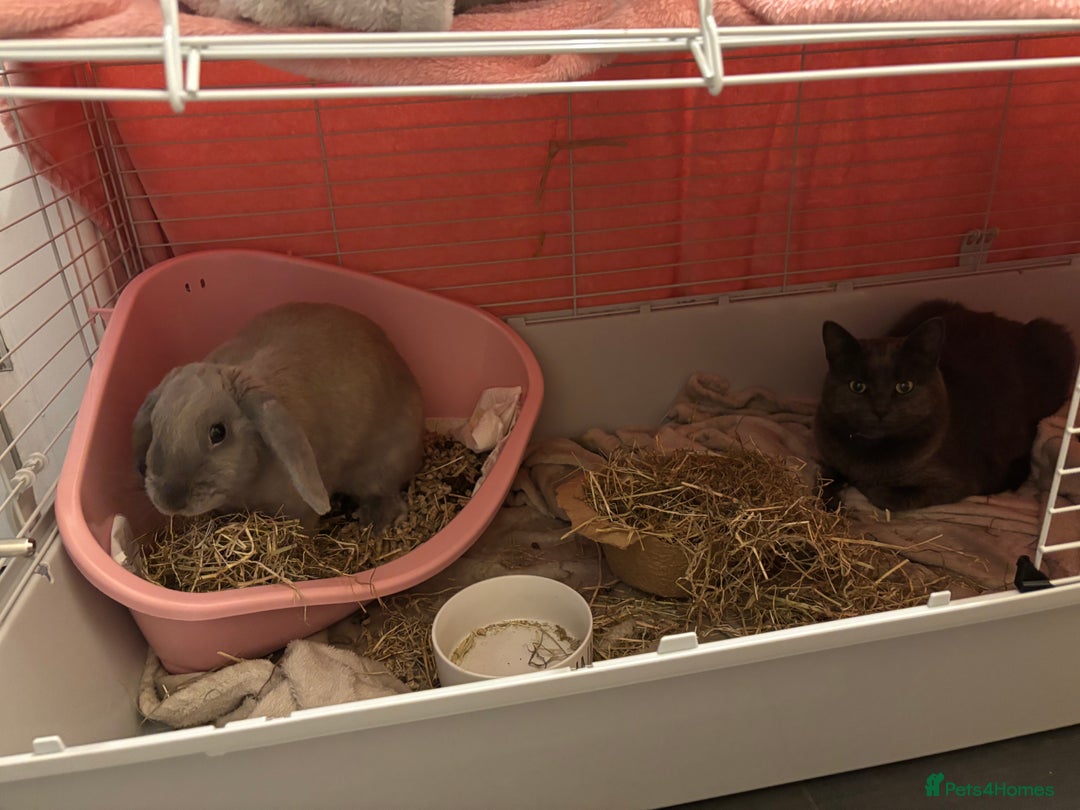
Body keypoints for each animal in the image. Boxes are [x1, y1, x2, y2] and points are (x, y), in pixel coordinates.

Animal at [132, 302, 425, 531]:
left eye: (218, 432)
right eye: (155, 425)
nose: (170, 500)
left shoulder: (301, 512)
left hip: (385, 463)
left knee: (384, 490)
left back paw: (376, 522)